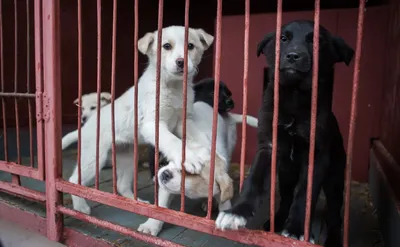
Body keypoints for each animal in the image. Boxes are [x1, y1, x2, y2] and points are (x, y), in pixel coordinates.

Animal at [216, 19, 354, 247]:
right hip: (286, 174)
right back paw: (278, 219)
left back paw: (333, 238)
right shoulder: (269, 147)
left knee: (335, 214)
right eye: (283, 38)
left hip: (335, 178)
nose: (292, 56)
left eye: (317, 41)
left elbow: (305, 195)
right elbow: (253, 182)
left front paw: (296, 229)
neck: (294, 97)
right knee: (287, 197)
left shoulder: (317, 156)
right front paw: (236, 213)